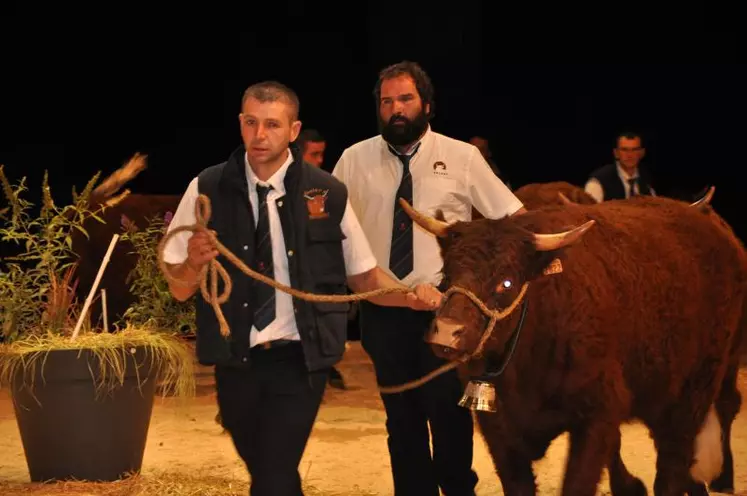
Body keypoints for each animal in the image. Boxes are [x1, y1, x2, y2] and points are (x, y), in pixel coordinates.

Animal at [400, 196, 744, 494]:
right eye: (447, 274)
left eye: (506, 282)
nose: (447, 333)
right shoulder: (497, 427)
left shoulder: (597, 414)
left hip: (697, 387)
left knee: (677, 458)